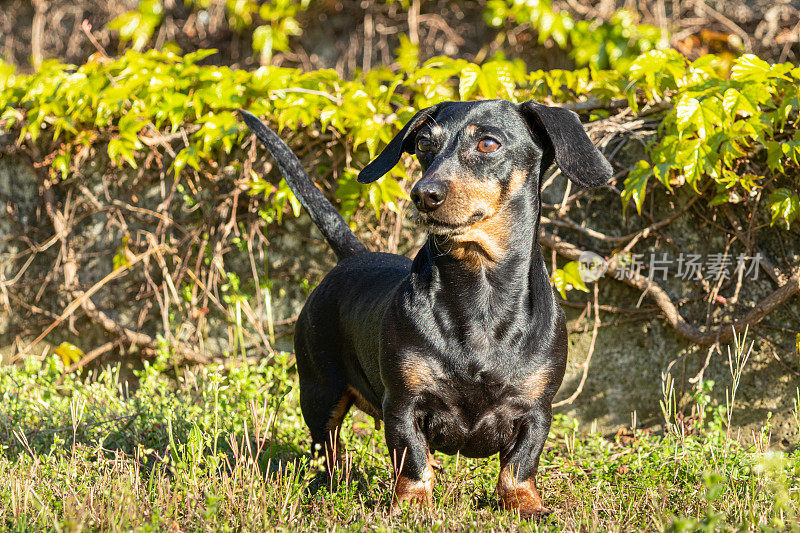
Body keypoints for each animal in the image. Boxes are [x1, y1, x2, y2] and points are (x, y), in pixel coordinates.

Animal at [241, 97, 608, 516]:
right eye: (424, 144)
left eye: (488, 143)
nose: (423, 195)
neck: (480, 294)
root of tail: (354, 256)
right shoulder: (403, 405)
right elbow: (412, 460)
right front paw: (414, 505)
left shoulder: (537, 410)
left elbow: (519, 466)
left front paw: (526, 504)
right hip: (320, 391)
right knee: (327, 448)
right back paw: (335, 485)